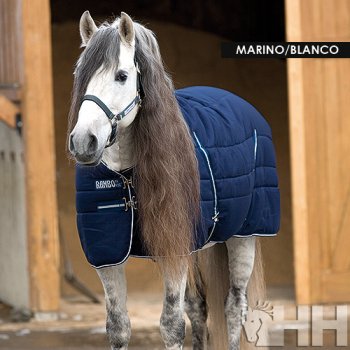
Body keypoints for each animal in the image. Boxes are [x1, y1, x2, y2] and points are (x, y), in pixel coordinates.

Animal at [66, 10, 278, 350]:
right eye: (80, 73)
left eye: (121, 76)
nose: (84, 141)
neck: (127, 176)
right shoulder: (108, 254)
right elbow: (118, 327)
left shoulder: (174, 249)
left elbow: (171, 325)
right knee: (199, 307)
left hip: (244, 236)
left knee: (234, 306)